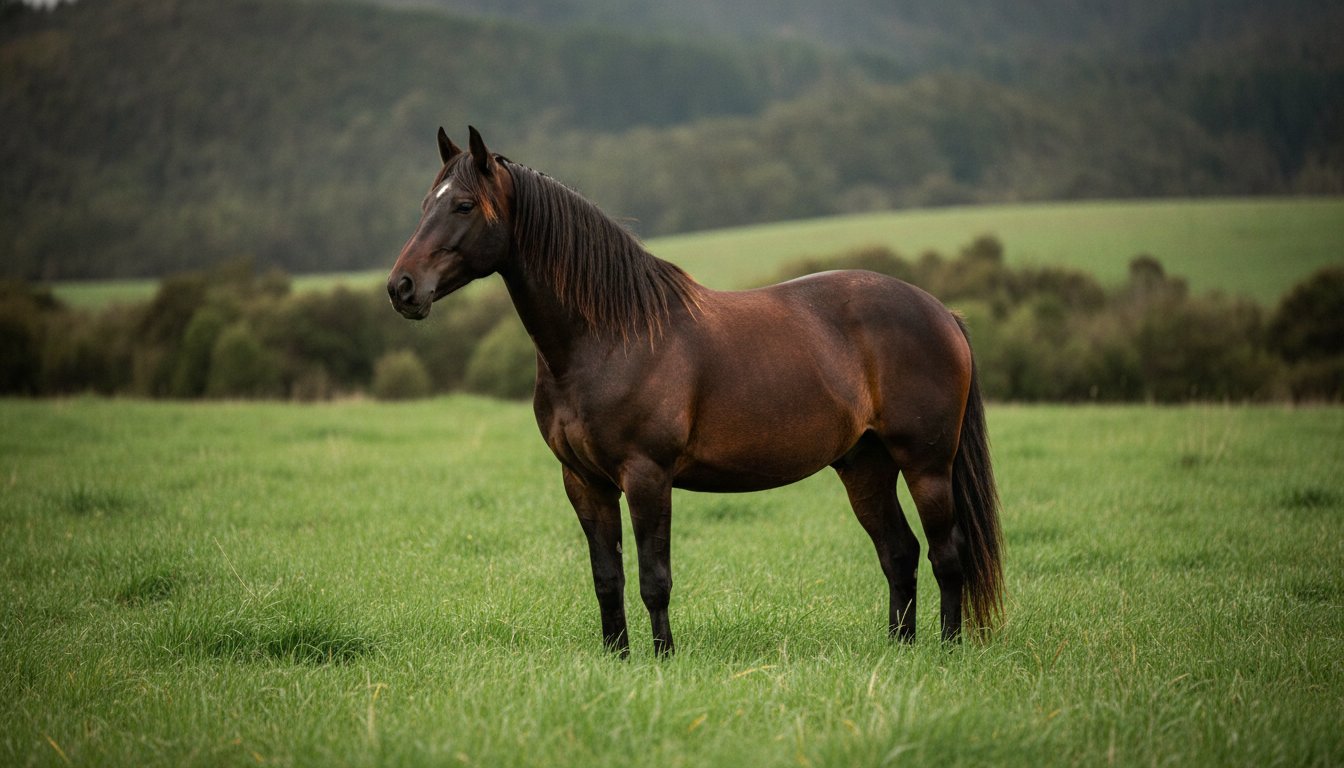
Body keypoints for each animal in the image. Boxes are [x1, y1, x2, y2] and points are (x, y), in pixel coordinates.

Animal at [387, 126, 1004, 656]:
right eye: (423, 204)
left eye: (464, 206)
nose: (402, 288)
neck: (610, 337)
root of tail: (943, 313)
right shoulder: (584, 481)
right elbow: (607, 578)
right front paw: (617, 659)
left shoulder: (647, 475)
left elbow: (653, 578)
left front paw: (662, 659)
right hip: (865, 465)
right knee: (899, 554)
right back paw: (900, 650)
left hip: (926, 465)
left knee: (947, 556)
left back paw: (946, 652)